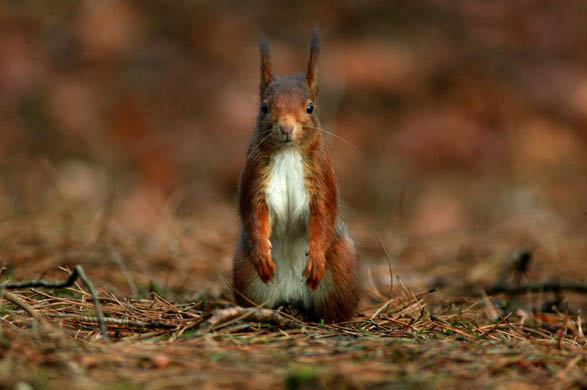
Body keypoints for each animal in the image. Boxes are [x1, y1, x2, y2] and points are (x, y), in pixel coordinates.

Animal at [233, 29, 360, 322]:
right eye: (264, 107)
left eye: (310, 107)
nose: (286, 128)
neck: (289, 153)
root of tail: (292, 294)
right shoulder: (256, 178)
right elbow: (254, 213)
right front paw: (262, 254)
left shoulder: (321, 178)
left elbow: (323, 215)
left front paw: (315, 257)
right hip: (245, 274)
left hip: (341, 266)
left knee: (332, 309)